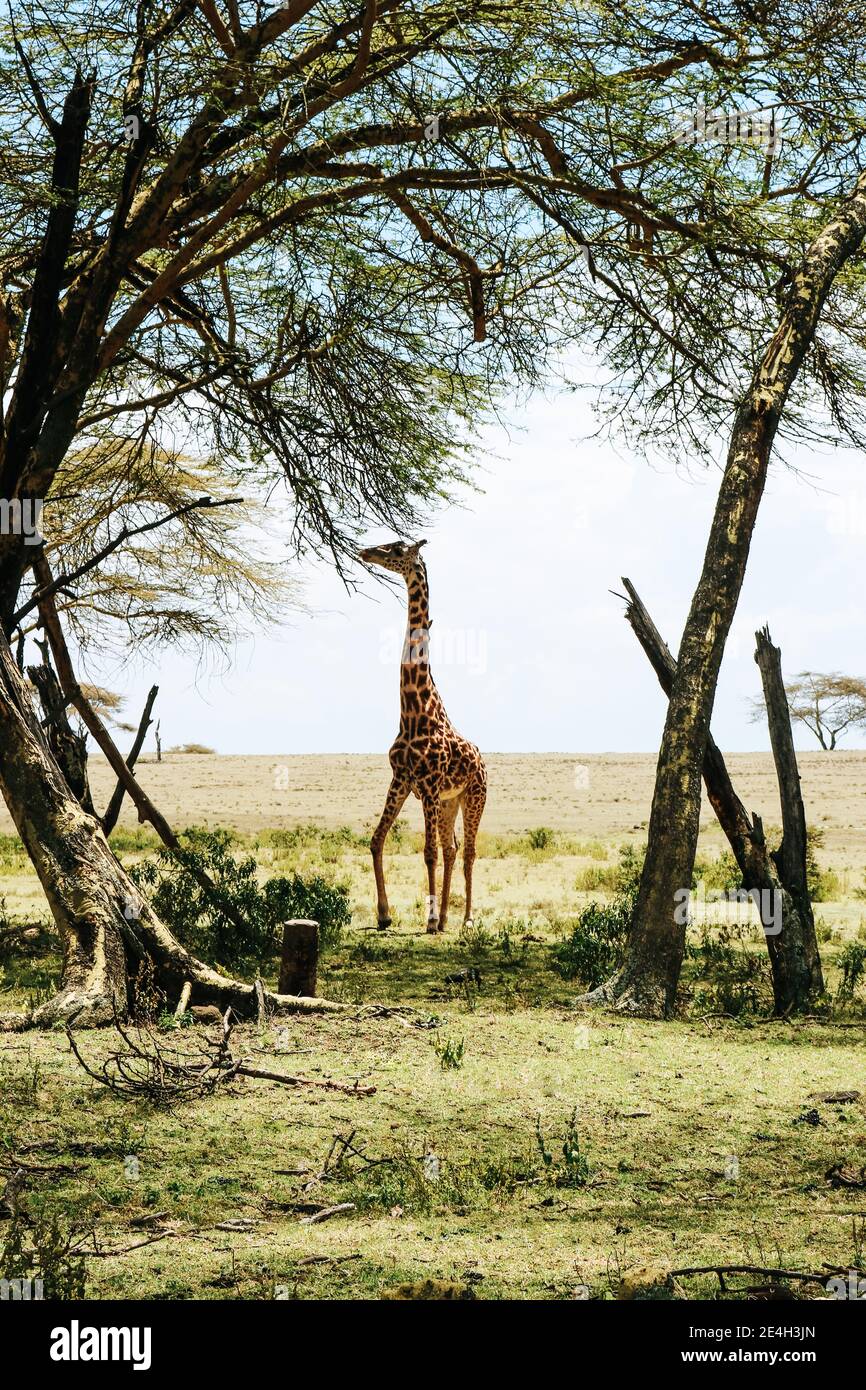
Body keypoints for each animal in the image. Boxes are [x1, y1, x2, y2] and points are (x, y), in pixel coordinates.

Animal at [355, 539, 483, 934]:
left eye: (397, 548)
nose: (367, 552)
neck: (413, 711)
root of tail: (483, 761)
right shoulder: (402, 779)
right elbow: (376, 841)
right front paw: (384, 914)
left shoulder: (427, 784)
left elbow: (427, 853)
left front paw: (426, 919)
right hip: (448, 802)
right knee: (452, 848)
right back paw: (444, 918)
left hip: (474, 796)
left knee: (468, 850)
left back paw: (465, 920)